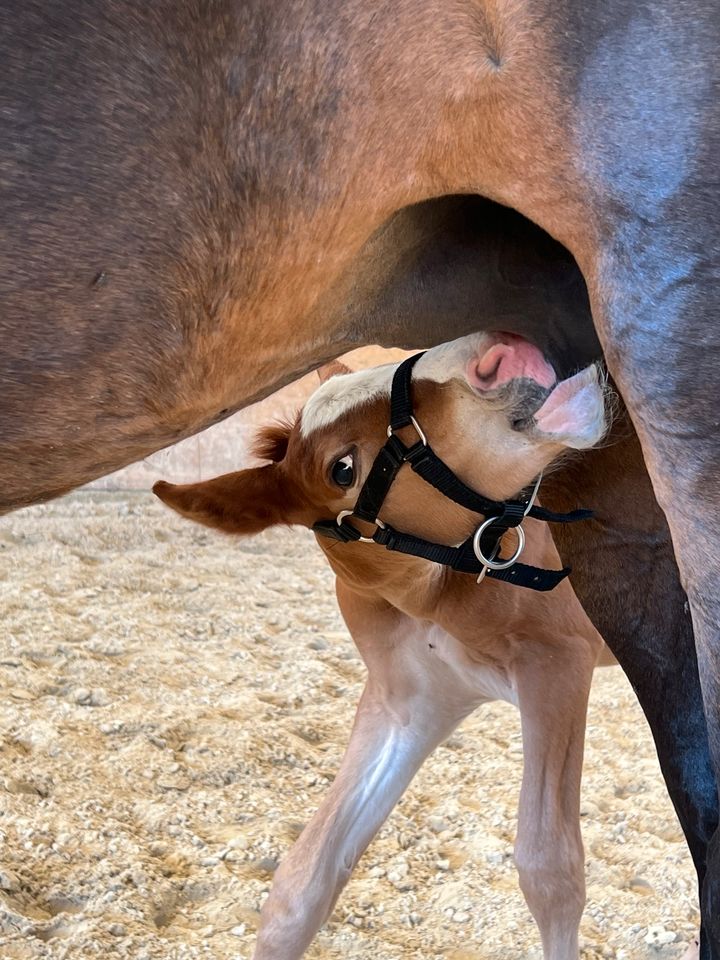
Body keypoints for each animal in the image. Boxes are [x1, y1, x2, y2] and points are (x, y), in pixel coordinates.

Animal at [155, 332, 612, 960]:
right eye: (342, 469)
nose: (502, 352)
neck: (436, 595)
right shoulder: (410, 706)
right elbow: (301, 883)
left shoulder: (558, 666)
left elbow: (550, 869)